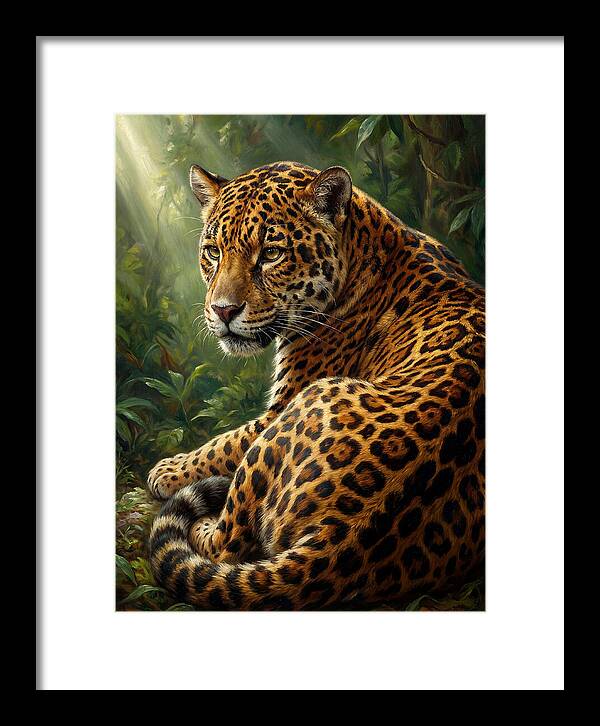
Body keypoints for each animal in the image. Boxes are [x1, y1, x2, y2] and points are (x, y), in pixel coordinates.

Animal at [147, 160, 485, 610]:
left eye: (271, 253)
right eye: (214, 251)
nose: (223, 310)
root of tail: (341, 540)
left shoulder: (281, 405)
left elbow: (224, 443)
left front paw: (168, 470)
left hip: (305, 404)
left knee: (227, 544)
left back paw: (203, 522)